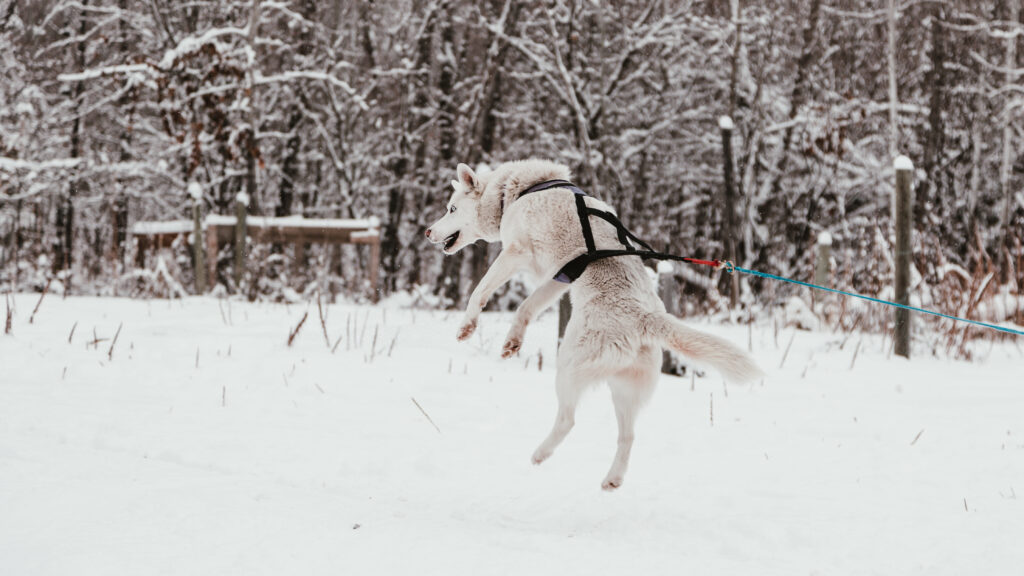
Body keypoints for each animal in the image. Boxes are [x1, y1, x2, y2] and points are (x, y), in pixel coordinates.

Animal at [423, 157, 761, 487]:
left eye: (451, 209)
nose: (427, 232)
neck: (516, 192)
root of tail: (645, 319)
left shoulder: (515, 253)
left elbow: (479, 292)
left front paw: (467, 327)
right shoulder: (559, 278)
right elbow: (525, 308)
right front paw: (512, 342)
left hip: (568, 366)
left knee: (568, 419)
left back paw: (540, 454)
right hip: (624, 390)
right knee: (627, 435)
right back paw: (612, 479)